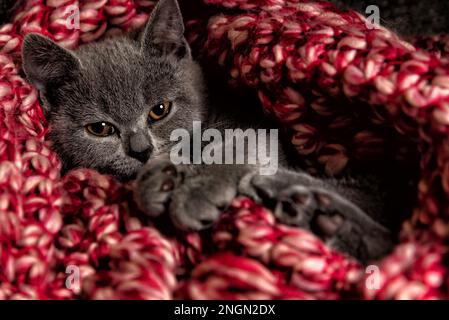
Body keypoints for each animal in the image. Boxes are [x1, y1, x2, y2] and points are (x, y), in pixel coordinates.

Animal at [21, 0, 394, 262]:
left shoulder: (257, 128)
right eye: (100, 129)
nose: (141, 150)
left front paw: (194, 190)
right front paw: (160, 182)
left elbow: (235, 146)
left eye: (159, 110)